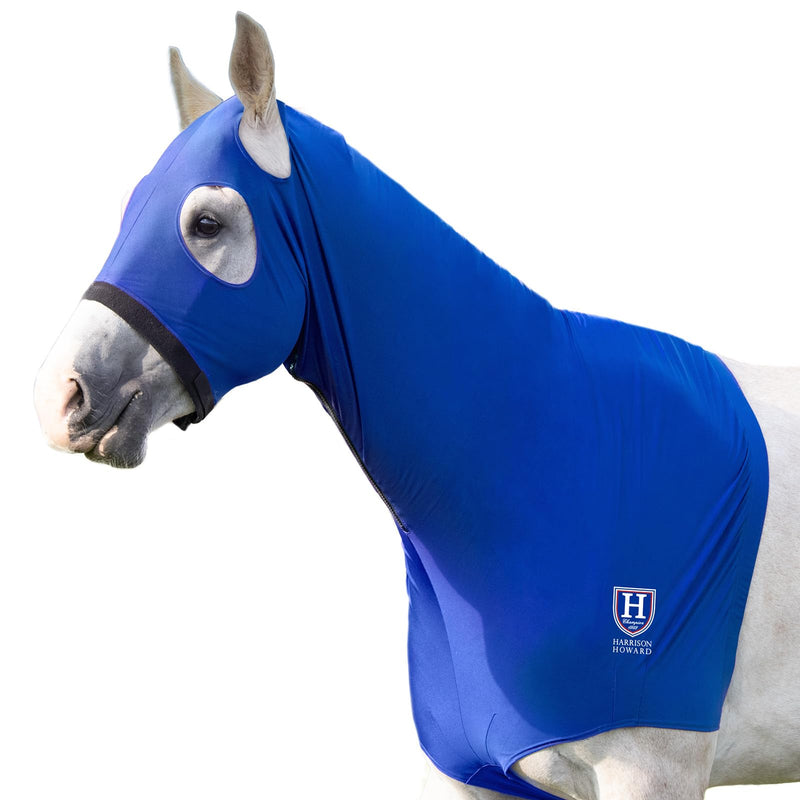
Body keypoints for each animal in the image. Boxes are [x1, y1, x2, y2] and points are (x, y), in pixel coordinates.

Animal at [33, 13, 800, 800]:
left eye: (207, 223)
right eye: (129, 210)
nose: (60, 394)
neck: (547, 462)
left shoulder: (652, 771)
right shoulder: (477, 777)